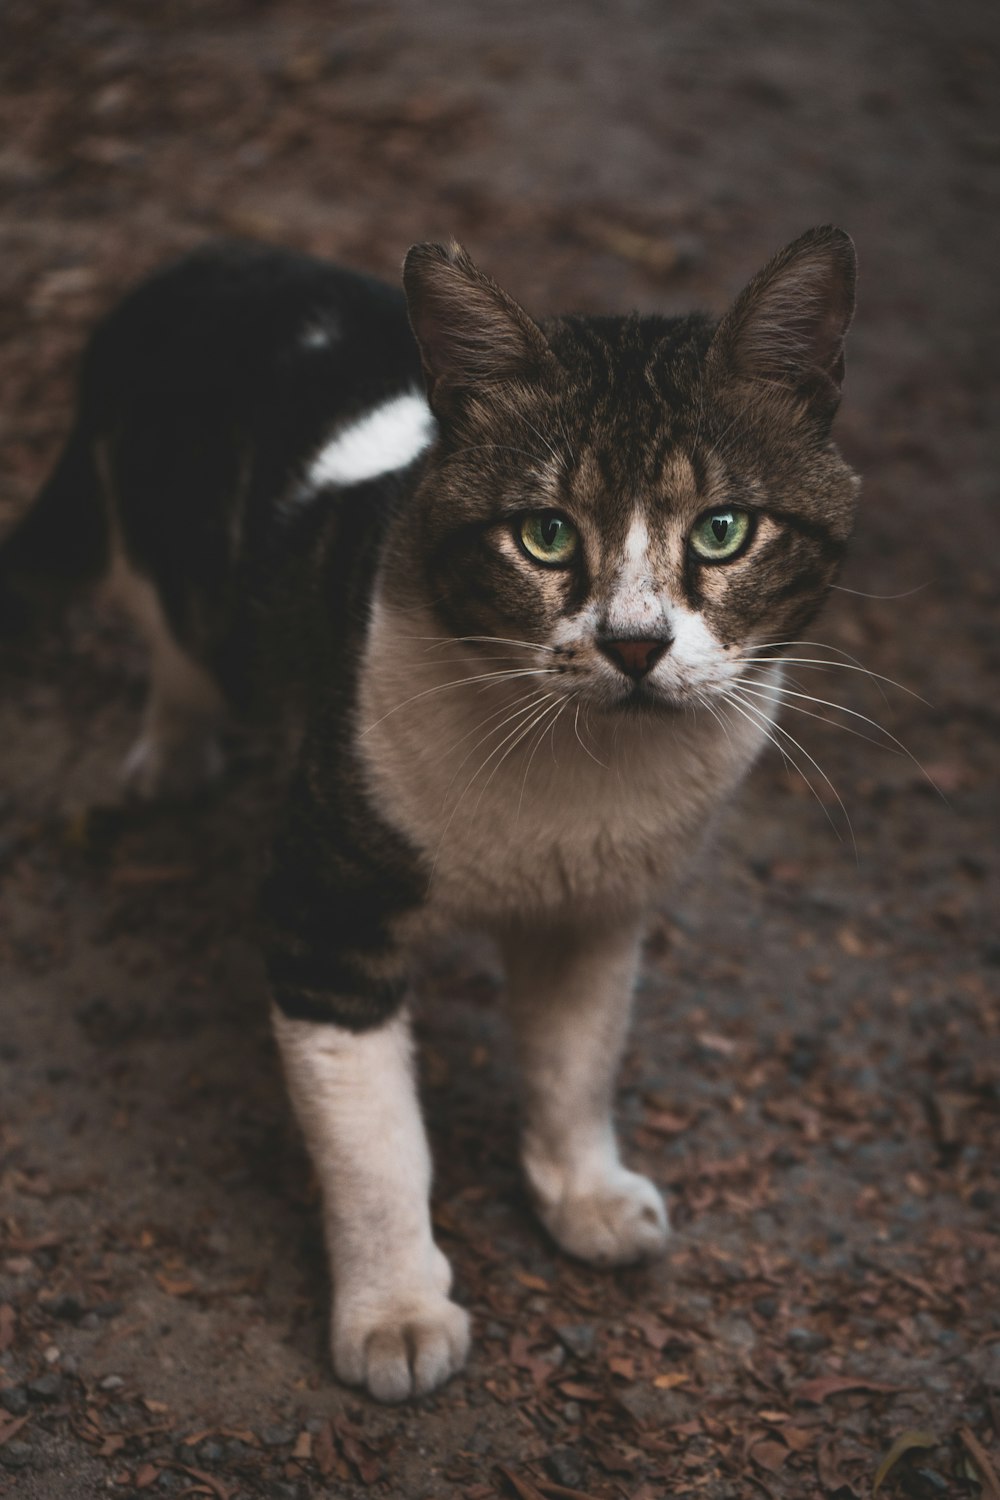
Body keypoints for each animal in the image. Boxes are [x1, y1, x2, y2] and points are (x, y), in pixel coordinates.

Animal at [1, 225, 863, 1404]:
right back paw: (173, 753)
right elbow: (375, 1142)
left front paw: (584, 1196)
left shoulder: (598, 908)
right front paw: (397, 1318)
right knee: (177, 641)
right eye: (546, 537)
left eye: (724, 530)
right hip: (156, 549)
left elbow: (577, 1057)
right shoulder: (325, 911)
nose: (635, 644)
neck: (583, 770)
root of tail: (200, 259)